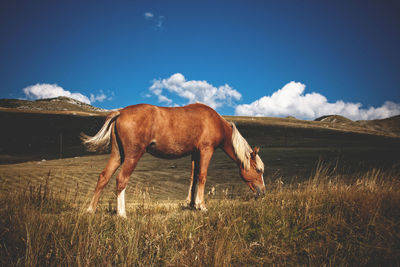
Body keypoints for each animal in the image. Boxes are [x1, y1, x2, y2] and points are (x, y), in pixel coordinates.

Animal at [80, 102, 266, 218]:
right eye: (258, 170)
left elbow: (193, 177)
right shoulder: (206, 150)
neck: (215, 121)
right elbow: (202, 176)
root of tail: (120, 112)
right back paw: (122, 214)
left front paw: (192, 204)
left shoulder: (195, 153)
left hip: (118, 155)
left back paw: (90, 210)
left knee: (103, 177)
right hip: (133, 155)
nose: (263, 192)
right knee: (121, 179)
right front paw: (202, 206)